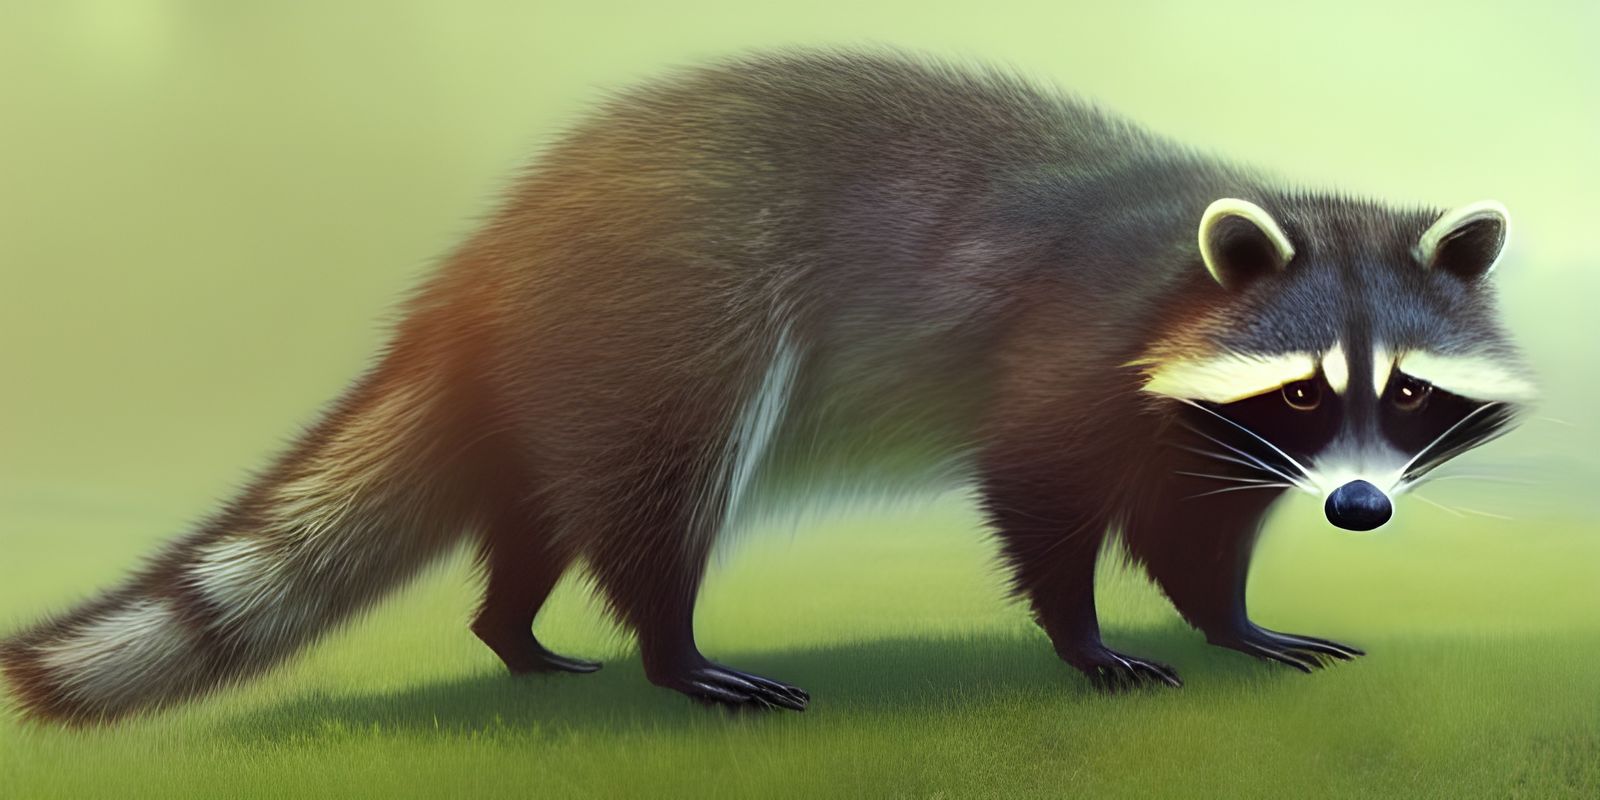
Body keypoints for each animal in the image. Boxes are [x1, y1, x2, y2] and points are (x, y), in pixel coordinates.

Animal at [1, 50, 1534, 722]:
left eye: (1405, 396)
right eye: (1305, 391)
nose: (1358, 510)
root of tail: (495, 248)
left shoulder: (1198, 426)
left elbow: (1194, 524)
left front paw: (1234, 616)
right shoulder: (1072, 342)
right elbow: (1038, 488)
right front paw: (1086, 635)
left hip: (564, 367)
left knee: (537, 505)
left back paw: (514, 629)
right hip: (670, 311)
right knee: (655, 490)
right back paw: (668, 648)